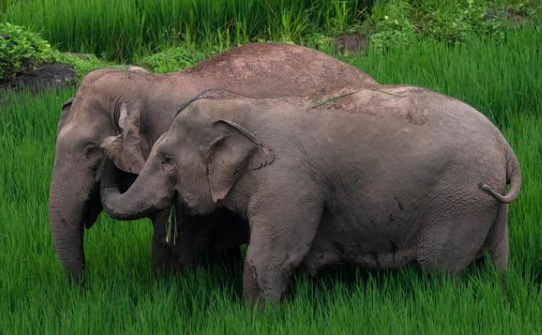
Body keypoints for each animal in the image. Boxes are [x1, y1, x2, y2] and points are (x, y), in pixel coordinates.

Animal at [101, 86, 524, 304]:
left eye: (167, 159)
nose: (105, 145)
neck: (246, 108)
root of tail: (506, 147)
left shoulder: (288, 184)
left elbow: (270, 259)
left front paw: (256, 317)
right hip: (486, 204)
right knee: (496, 261)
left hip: (460, 202)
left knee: (441, 271)